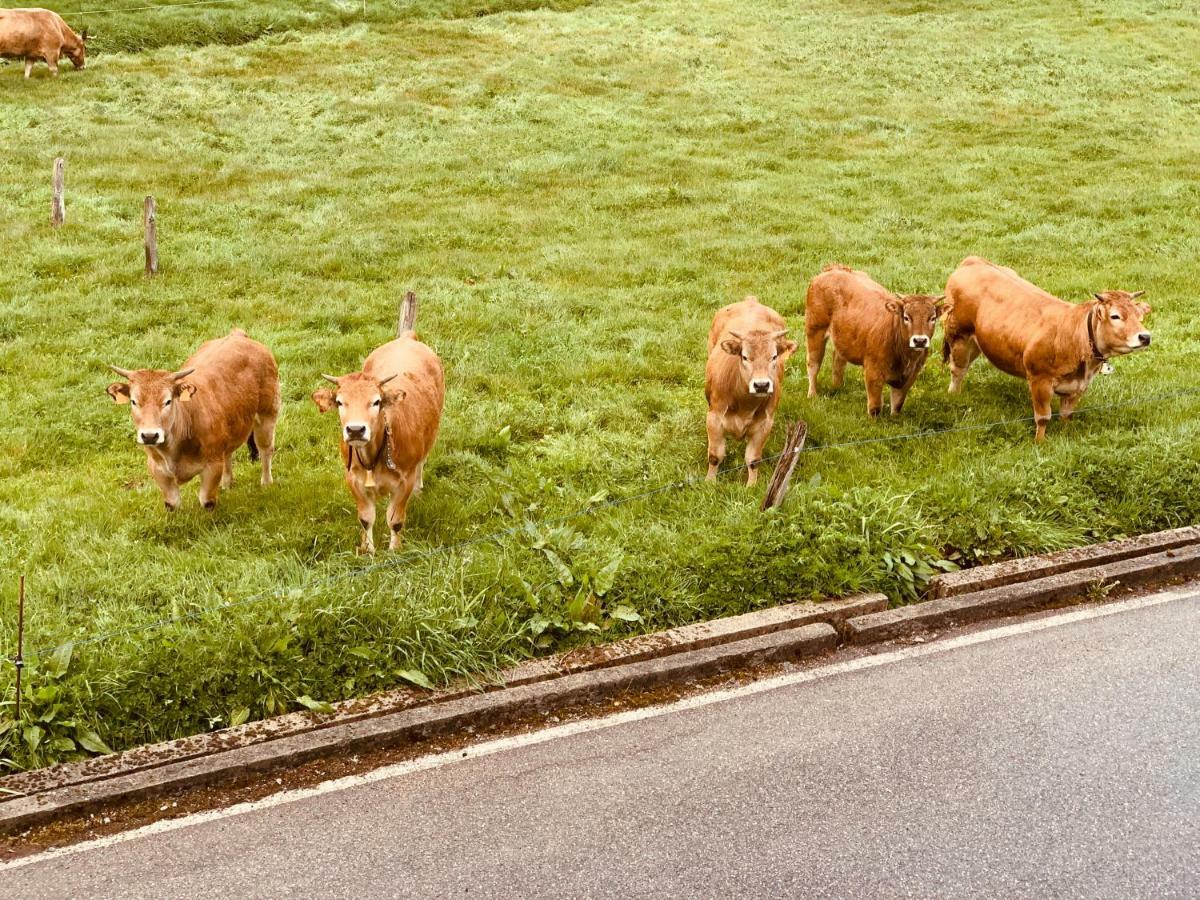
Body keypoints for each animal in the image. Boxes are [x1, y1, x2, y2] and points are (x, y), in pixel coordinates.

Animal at [105, 328, 278, 511]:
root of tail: (237, 335)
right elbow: (171, 503)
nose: (150, 436)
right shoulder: (157, 469)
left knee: (265, 448)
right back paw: (227, 483)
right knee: (229, 453)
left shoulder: (212, 466)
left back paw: (266, 482)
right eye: (134, 401)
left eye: (168, 401)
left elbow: (207, 501)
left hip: (268, 413)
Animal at [309, 301, 446, 556]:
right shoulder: (352, 479)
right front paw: (368, 550)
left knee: (423, 462)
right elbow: (366, 518)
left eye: (376, 402)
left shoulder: (404, 480)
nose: (355, 430)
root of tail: (406, 338)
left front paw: (394, 550)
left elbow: (395, 520)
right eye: (340, 402)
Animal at [700, 296, 796, 487]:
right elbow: (715, 456)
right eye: (745, 356)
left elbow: (753, 459)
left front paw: (751, 486)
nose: (761, 385)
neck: (744, 403)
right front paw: (709, 482)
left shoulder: (764, 424)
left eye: (774, 356)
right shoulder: (714, 419)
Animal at [806, 262, 945, 417]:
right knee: (813, 363)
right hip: (815, 329)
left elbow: (897, 403)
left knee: (838, 359)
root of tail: (834, 269)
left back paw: (837, 387)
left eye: (933, 318)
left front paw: (895, 418)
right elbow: (875, 406)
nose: (920, 341)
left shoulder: (910, 376)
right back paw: (812, 394)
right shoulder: (873, 371)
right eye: (906, 317)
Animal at [945, 256, 1152, 444]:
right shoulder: (1039, 380)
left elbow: (1067, 415)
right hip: (959, 335)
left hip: (977, 341)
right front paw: (1040, 443)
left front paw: (1067, 434)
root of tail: (973, 260)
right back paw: (954, 396)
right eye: (1115, 316)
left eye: (1139, 316)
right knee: (958, 370)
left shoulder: (1078, 387)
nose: (1145, 336)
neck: (1074, 337)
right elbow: (1043, 417)